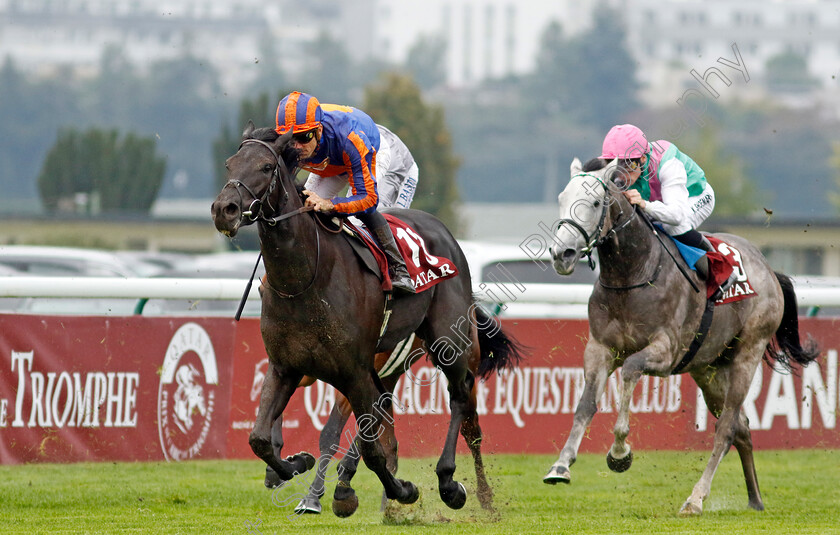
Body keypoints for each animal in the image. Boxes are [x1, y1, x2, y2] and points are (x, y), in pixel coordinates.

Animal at [212, 123, 524, 516]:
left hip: (449, 344)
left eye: (267, 167)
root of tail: (444, 231)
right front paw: (295, 465)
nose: (224, 209)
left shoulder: (354, 371)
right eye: (229, 164)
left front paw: (394, 490)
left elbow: (360, 444)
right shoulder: (286, 366)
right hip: (392, 368)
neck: (306, 279)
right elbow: (259, 439)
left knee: (462, 403)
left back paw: (458, 485)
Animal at [540, 157, 816, 516]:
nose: (563, 254)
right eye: (562, 198)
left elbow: (631, 370)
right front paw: (561, 465)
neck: (635, 274)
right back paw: (754, 499)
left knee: (726, 428)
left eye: (597, 202)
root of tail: (769, 270)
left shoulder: (665, 351)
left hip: (747, 354)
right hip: (708, 369)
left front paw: (620, 452)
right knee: (742, 427)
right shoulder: (600, 348)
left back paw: (696, 498)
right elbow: (585, 405)